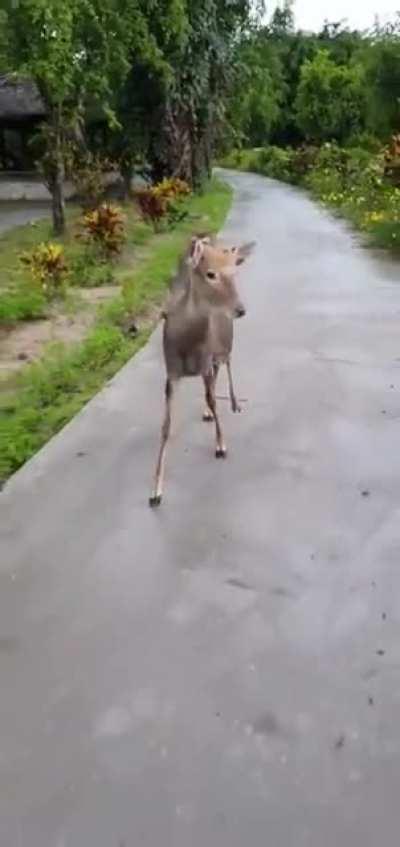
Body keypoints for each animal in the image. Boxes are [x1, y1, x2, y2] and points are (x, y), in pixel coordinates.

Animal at [149, 236, 252, 507]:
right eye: (210, 273)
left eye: (234, 271)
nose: (241, 309)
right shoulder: (171, 372)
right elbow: (165, 425)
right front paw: (155, 491)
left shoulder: (206, 359)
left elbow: (214, 399)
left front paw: (221, 446)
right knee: (215, 379)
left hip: (226, 345)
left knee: (226, 366)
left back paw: (234, 402)